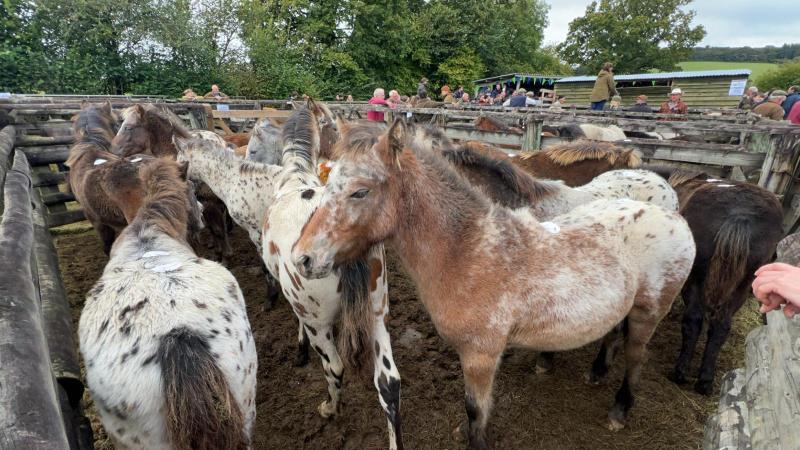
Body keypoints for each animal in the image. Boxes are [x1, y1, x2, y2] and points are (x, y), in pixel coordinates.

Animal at [112, 103, 233, 263]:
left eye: (128, 127)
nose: (113, 150)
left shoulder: (211, 204)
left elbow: (218, 231)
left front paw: (225, 257)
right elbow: (213, 230)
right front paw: (218, 254)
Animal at [292, 120, 696, 449]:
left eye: (360, 192)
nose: (302, 257)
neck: (470, 250)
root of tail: (675, 216)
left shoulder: (481, 355)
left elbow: (476, 409)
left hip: (648, 312)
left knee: (635, 356)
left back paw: (620, 410)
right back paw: (596, 373)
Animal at [645, 166, 784, 395]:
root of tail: (740, 215)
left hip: (696, 278)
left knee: (694, 319)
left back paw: (681, 372)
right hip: (742, 285)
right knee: (720, 326)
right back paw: (705, 380)